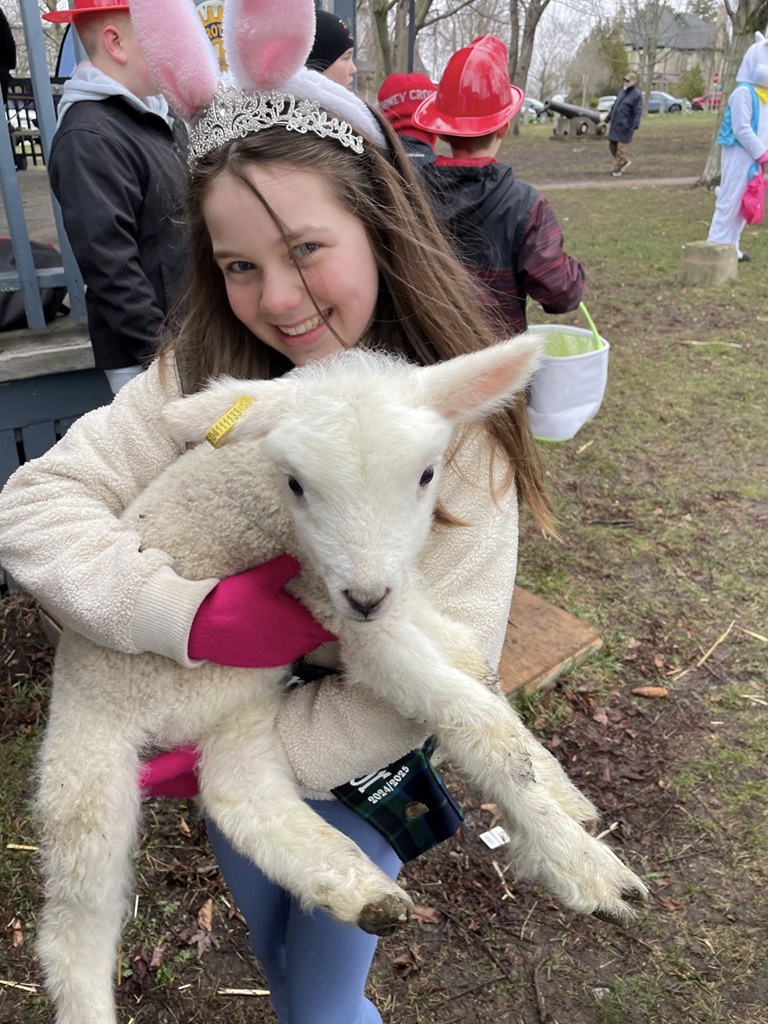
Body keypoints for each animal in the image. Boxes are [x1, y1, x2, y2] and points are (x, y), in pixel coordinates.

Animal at [35, 336, 648, 1024]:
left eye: (427, 475)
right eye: (297, 484)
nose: (365, 594)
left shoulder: (398, 599)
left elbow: (475, 669)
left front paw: (563, 794)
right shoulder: (332, 611)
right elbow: (475, 719)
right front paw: (586, 868)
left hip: (242, 710)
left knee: (238, 795)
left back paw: (361, 894)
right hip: (89, 756)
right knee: (75, 920)